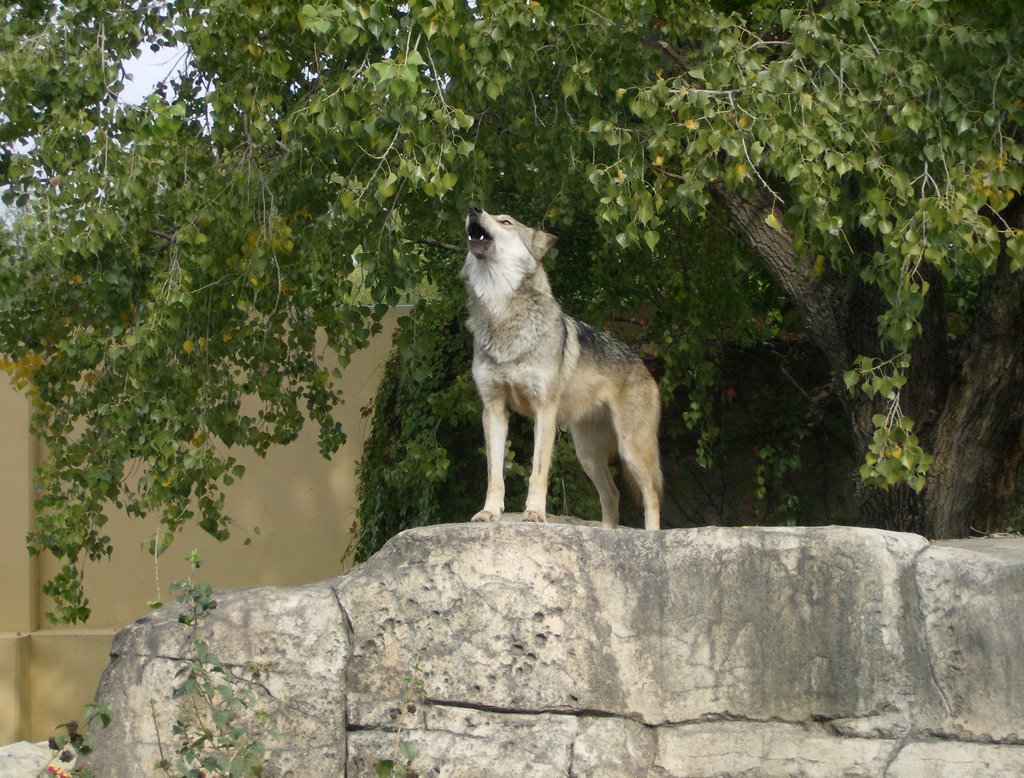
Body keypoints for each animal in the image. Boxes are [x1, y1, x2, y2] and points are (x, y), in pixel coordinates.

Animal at [462, 203, 663, 532]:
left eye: (505, 221)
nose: (472, 208)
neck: (502, 313)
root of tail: (644, 367)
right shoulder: (493, 410)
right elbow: (495, 474)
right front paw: (489, 513)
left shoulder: (544, 410)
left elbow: (538, 471)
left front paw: (534, 513)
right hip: (588, 455)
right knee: (613, 494)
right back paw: (608, 534)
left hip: (631, 449)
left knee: (651, 496)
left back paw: (650, 537)